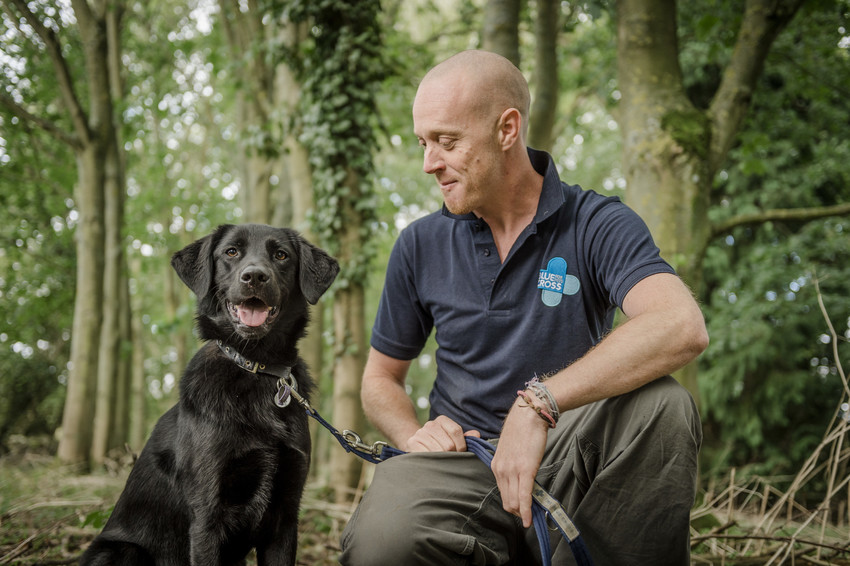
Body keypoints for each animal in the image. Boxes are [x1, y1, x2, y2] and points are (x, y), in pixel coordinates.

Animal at [80, 224, 338, 564]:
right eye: (231, 252)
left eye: (281, 255)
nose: (254, 276)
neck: (255, 367)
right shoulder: (207, 517)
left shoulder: (285, 518)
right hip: (122, 550)